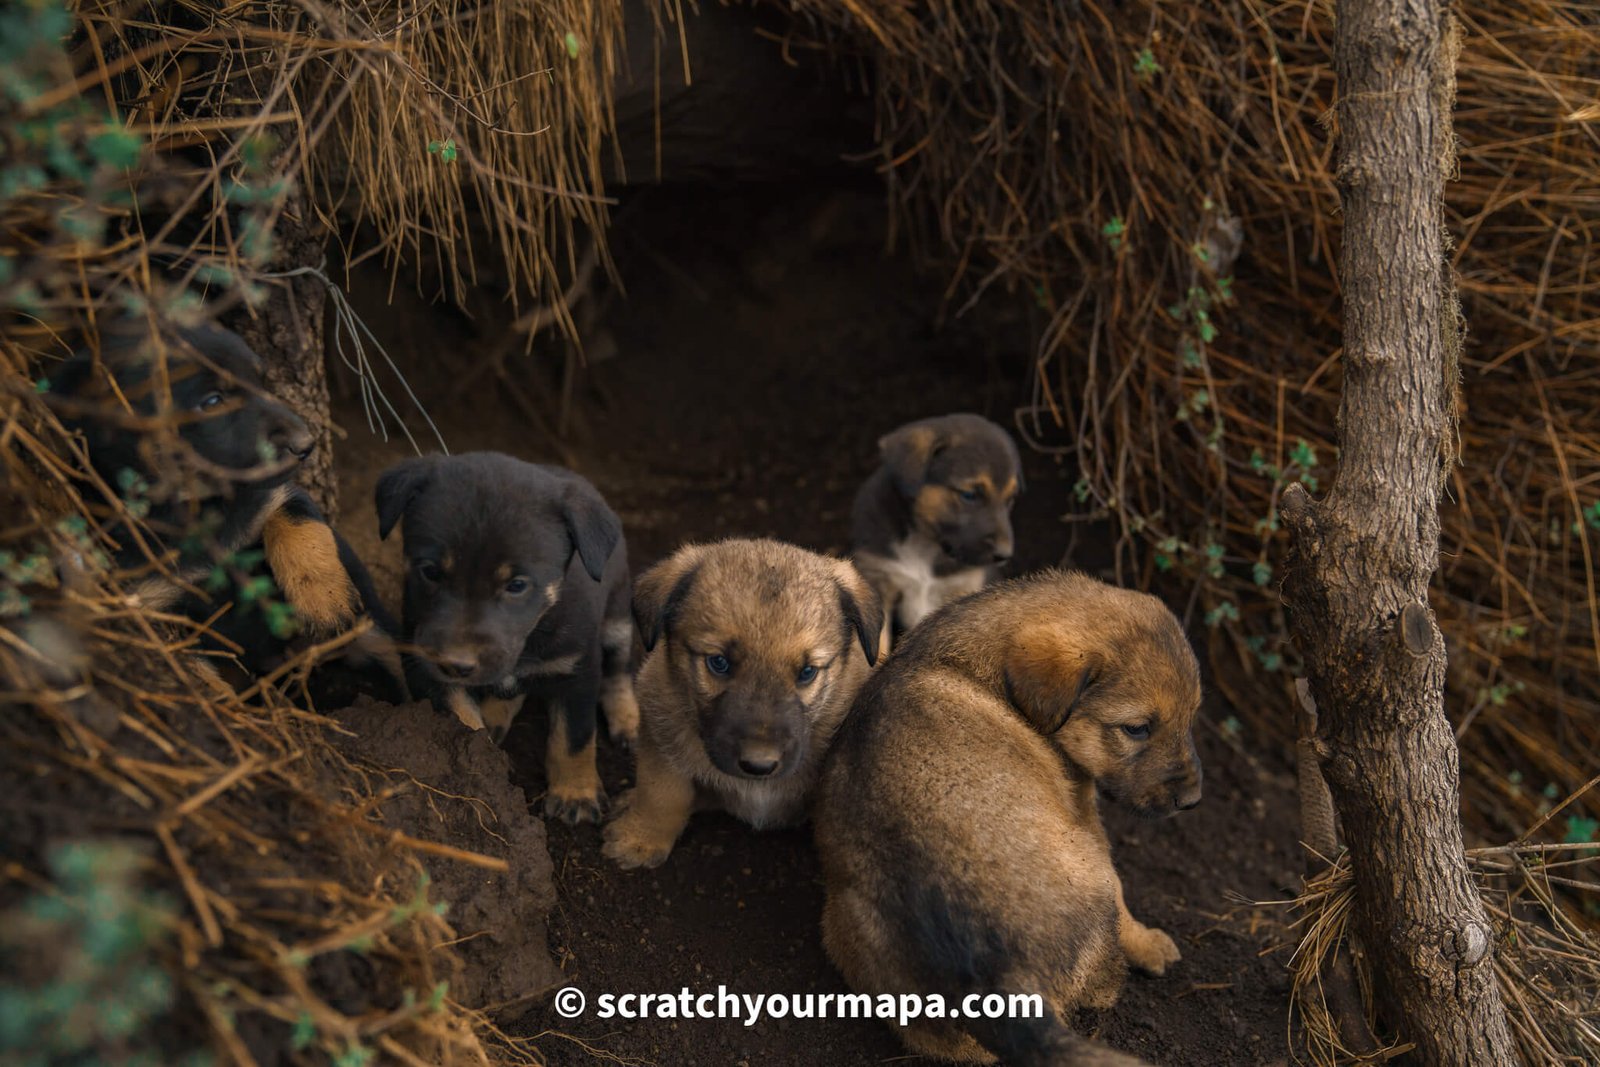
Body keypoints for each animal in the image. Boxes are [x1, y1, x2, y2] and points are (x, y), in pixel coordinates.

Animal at [53, 326, 409, 710]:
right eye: (212, 401)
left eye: (260, 381)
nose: (306, 444)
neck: (200, 513)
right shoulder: (151, 604)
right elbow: (188, 667)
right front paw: (219, 705)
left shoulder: (275, 495)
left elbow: (303, 528)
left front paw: (325, 602)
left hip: (380, 638)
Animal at [374, 451, 636, 825]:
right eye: (431, 571)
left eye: (517, 585)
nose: (456, 663)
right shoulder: (424, 664)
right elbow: (463, 719)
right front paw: (484, 767)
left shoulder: (577, 667)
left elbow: (574, 737)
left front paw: (576, 793)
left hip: (617, 616)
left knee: (619, 671)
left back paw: (627, 721)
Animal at [601, 537, 883, 870]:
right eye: (718, 663)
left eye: (807, 672)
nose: (759, 765)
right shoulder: (660, 728)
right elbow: (660, 793)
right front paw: (641, 839)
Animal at [812, 575, 1203, 1067]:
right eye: (1136, 728)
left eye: (1192, 715)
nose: (1193, 800)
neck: (976, 665)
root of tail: (997, 983)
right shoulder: (1085, 814)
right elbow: (1124, 901)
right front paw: (1151, 944)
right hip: (1089, 864)